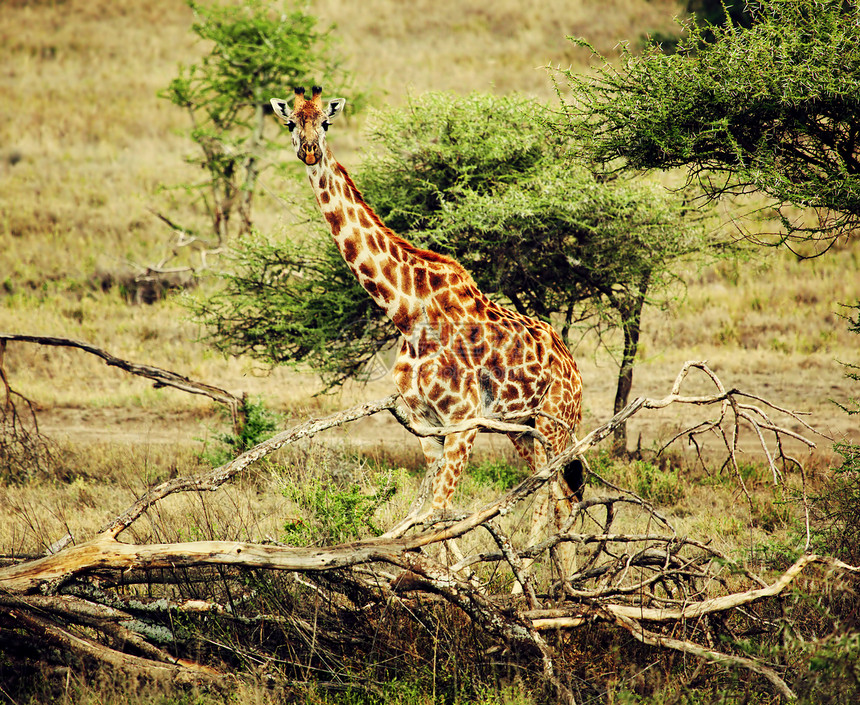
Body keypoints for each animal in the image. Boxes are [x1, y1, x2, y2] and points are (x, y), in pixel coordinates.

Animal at [274, 85, 584, 576]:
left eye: (325, 121)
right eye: (290, 122)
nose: (309, 152)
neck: (406, 312)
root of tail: (574, 367)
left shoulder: (463, 421)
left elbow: (438, 512)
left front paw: (462, 585)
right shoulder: (428, 427)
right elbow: (430, 516)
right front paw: (450, 578)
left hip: (556, 423)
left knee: (556, 496)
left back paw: (545, 586)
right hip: (522, 427)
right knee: (551, 495)